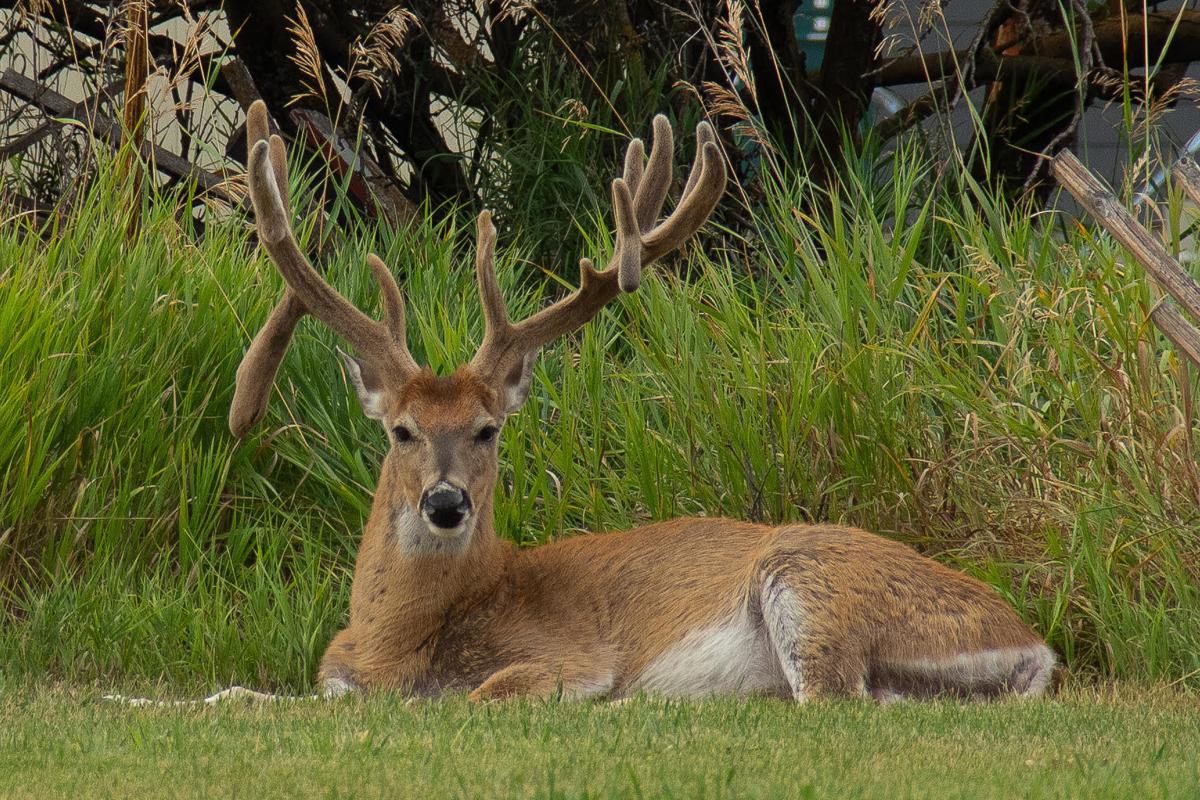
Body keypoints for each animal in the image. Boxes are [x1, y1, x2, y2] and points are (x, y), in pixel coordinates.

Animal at [229, 101, 1056, 705]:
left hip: (809, 580)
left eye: (488, 429)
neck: (391, 644)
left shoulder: (564, 656)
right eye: (401, 430)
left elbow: (485, 695)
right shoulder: (332, 678)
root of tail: (1035, 644)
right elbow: (251, 694)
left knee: (832, 698)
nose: (445, 503)